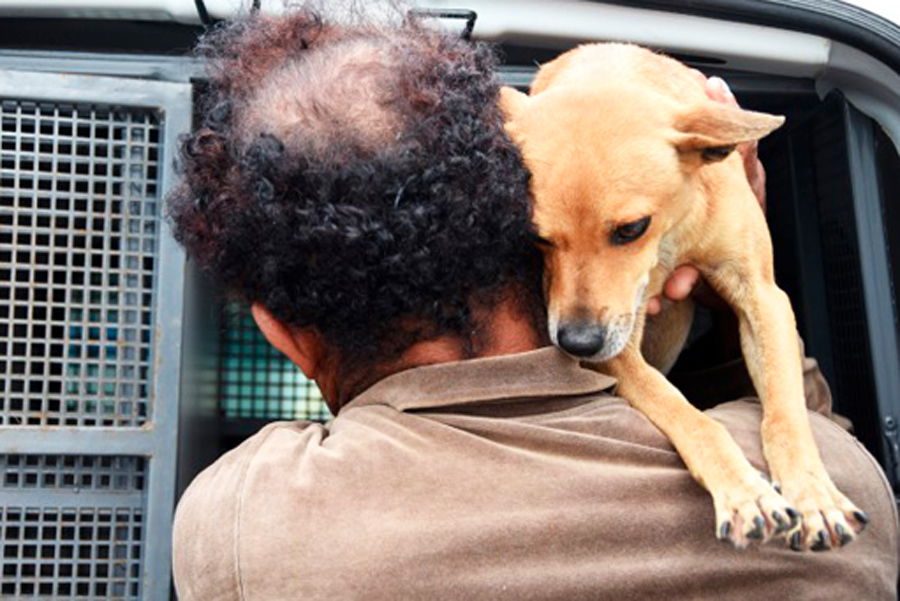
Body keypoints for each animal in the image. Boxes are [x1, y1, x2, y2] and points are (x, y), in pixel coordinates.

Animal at [502, 42, 868, 548]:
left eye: (631, 228)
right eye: (536, 238)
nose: (578, 345)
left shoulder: (763, 299)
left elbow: (786, 416)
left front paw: (815, 494)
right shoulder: (621, 345)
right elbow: (689, 415)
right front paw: (743, 491)